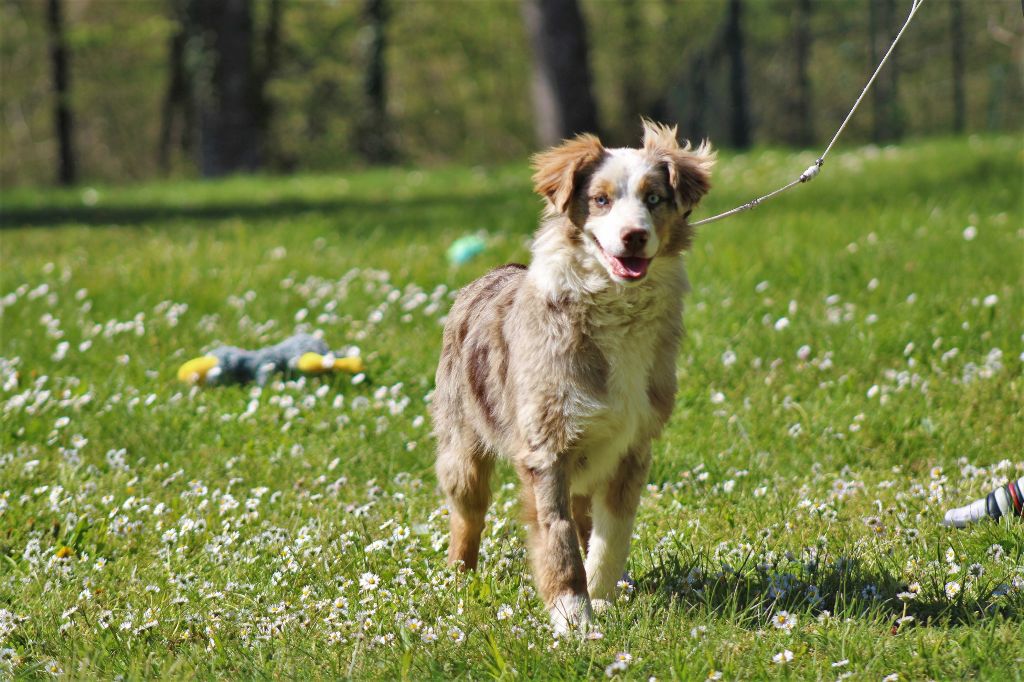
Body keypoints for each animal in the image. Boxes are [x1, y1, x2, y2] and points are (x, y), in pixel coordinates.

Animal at [430, 120, 712, 630]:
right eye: (600, 200)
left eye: (654, 198)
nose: (633, 236)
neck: (615, 310)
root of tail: (494, 271)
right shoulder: (547, 447)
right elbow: (556, 535)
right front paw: (572, 615)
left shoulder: (632, 446)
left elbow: (611, 535)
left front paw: (603, 598)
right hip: (462, 448)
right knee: (467, 517)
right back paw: (459, 580)